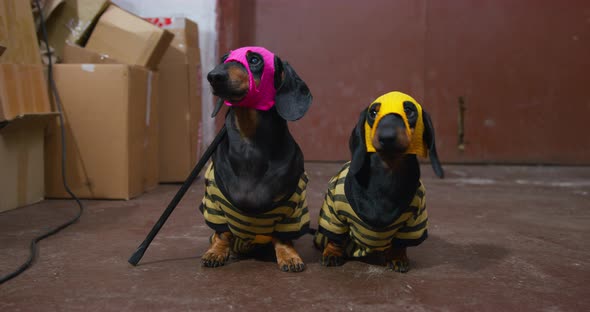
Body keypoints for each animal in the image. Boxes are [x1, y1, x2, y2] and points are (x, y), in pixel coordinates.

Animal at [200, 47, 312, 272]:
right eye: (224, 59)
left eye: (254, 60)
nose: (213, 76)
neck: (248, 143)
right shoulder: (214, 202)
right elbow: (222, 232)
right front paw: (216, 252)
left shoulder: (294, 205)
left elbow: (282, 236)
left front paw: (288, 256)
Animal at [314, 91, 444, 272]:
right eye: (373, 113)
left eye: (409, 111)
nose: (387, 137)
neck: (387, 170)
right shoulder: (334, 214)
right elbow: (336, 238)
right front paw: (332, 253)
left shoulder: (414, 221)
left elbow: (400, 244)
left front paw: (397, 257)